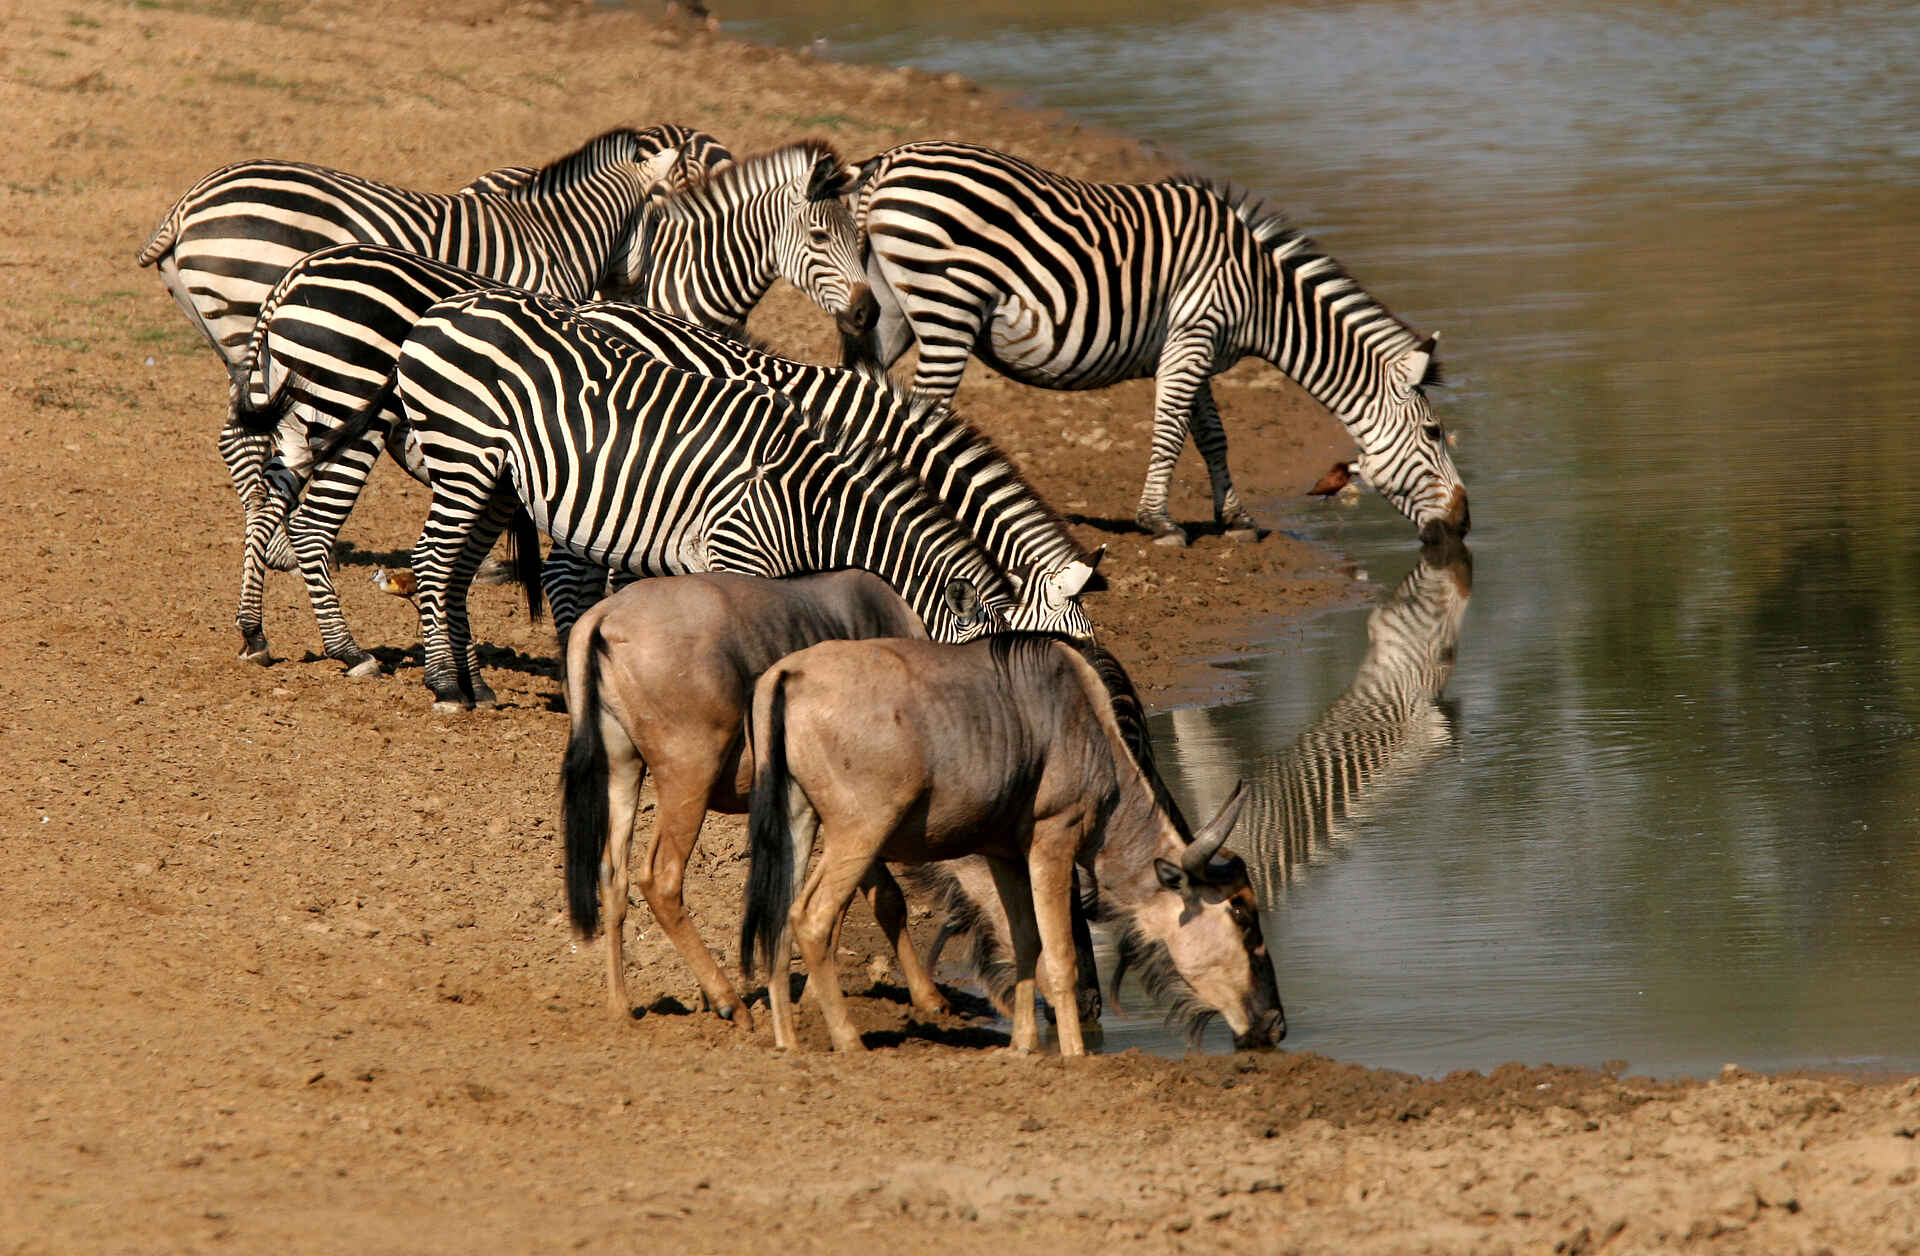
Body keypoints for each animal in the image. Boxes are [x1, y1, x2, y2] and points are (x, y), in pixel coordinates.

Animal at [136, 123, 732, 569]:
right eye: (665, 210)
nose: (641, 289)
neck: (555, 236)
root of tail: (190, 200)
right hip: (254, 327)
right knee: (255, 441)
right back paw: (281, 549)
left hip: (241, 345)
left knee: (243, 439)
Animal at [365, 287, 1018, 711]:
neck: (812, 503)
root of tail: (440, 309)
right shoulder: (739, 554)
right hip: (462, 459)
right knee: (431, 563)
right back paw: (447, 687)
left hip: (496, 482)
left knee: (454, 571)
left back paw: (475, 685)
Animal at [843, 140, 1471, 547]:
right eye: (1433, 433)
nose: (1466, 524)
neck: (1262, 294)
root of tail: (886, 163)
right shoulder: (1193, 336)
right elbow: (1171, 430)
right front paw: (1159, 524)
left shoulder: (1196, 347)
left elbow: (1212, 436)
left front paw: (1235, 519)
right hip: (946, 307)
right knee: (926, 410)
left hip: (886, 311)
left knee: (863, 386)